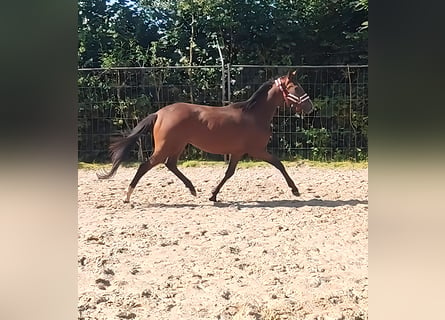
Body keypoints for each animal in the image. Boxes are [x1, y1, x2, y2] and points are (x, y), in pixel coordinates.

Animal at [97, 70, 312, 202]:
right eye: (296, 88)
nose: (311, 107)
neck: (254, 115)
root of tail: (159, 113)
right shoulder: (257, 150)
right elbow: (279, 164)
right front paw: (295, 189)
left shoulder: (237, 153)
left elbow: (229, 173)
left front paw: (213, 195)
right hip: (166, 146)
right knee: (145, 165)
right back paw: (127, 196)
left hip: (177, 146)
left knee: (170, 165)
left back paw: (192, 189)